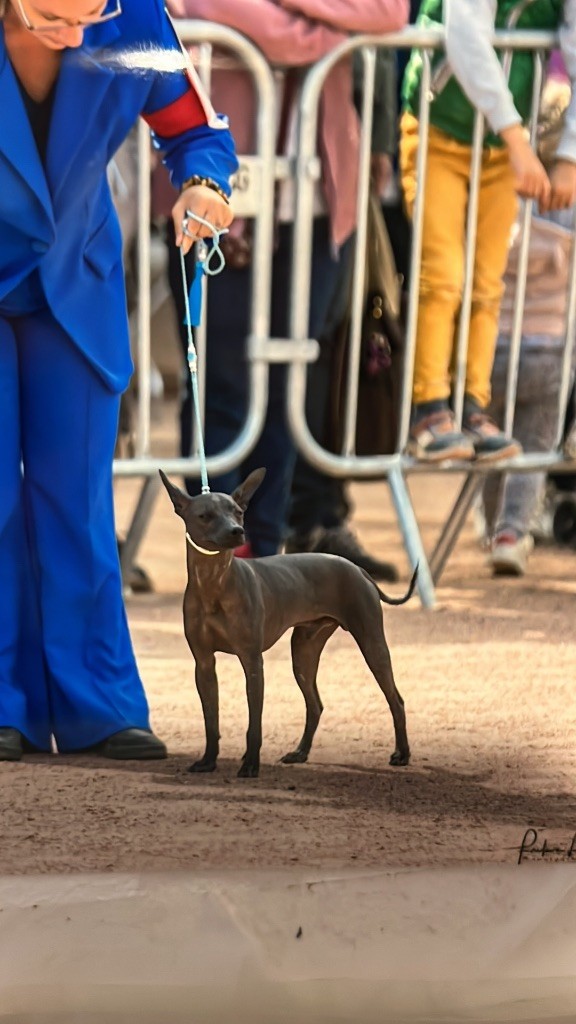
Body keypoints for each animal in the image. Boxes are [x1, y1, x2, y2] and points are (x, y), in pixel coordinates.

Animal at [158, 466, 414, 774]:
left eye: (238, 512)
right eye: (205, 515)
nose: (237, 531)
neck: (214, 584)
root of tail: (357, 568)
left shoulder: (252, 661)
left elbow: (254, 724)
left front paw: (250, 765)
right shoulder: (204, 664)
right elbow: (211, 721)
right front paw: (208, 761)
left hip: (372, 643)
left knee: (396, 700)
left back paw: (402, 754)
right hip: (303, 653)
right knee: (315, 705)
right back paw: (300, 752)